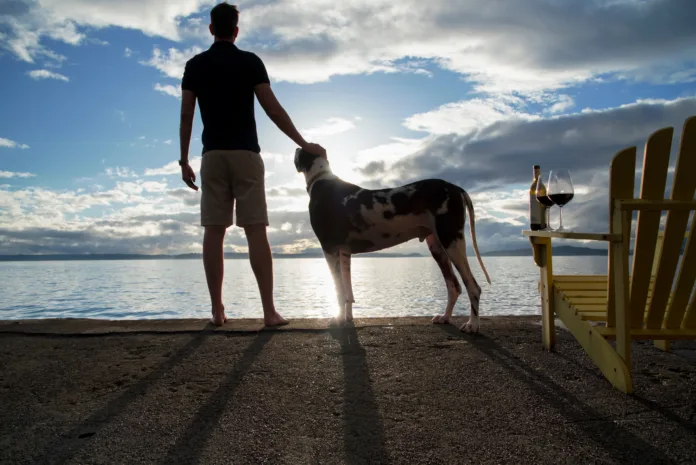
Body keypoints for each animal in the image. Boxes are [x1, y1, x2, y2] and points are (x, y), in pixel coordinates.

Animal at [290, 148, 492, 330]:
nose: (296, 148)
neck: (322, 182)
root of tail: (456, 188)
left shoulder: (329, 249)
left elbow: (339, 290)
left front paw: (338, 321)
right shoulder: (344, 252)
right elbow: (348, 293)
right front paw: (347, 319)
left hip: (451, 241)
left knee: (472, 286)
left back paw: (472, 325)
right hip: (437, 247)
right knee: (454, 286)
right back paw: (445, 317)